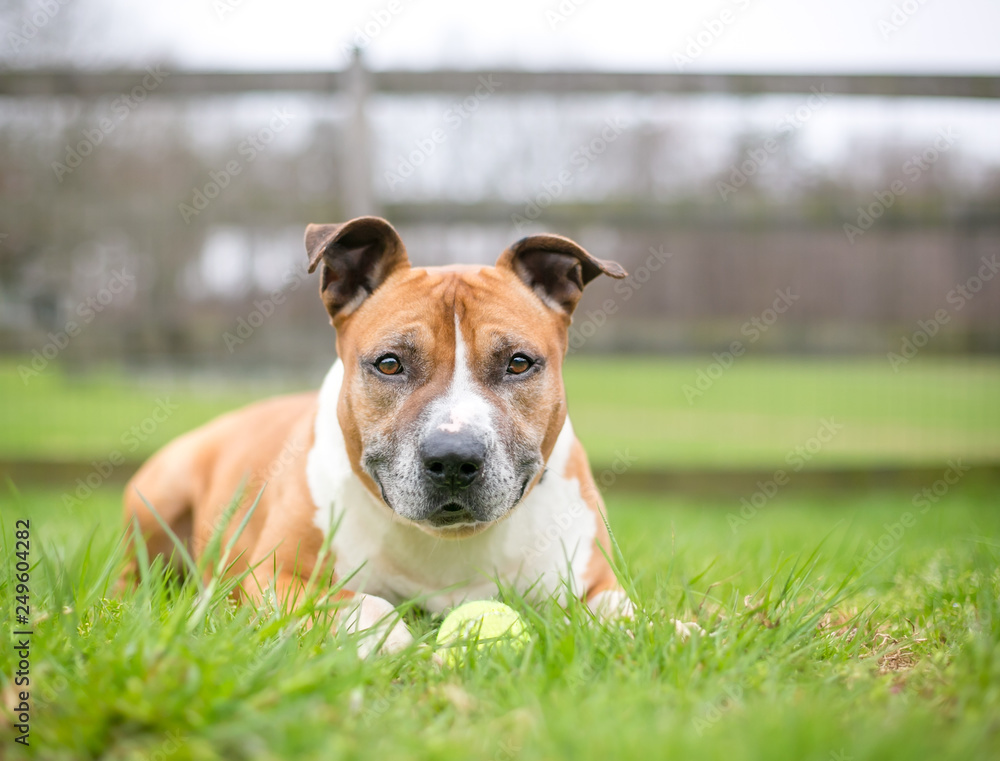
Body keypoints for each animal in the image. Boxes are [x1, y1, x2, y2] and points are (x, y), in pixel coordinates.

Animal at [123, 215, 632, 652]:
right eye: (389, 364)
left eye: (519, 363)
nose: (453, 459)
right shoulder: (274, 577)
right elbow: (366, 606)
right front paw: (396, 641)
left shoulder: (597, 580)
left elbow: (624, 614)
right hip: (158, 499)